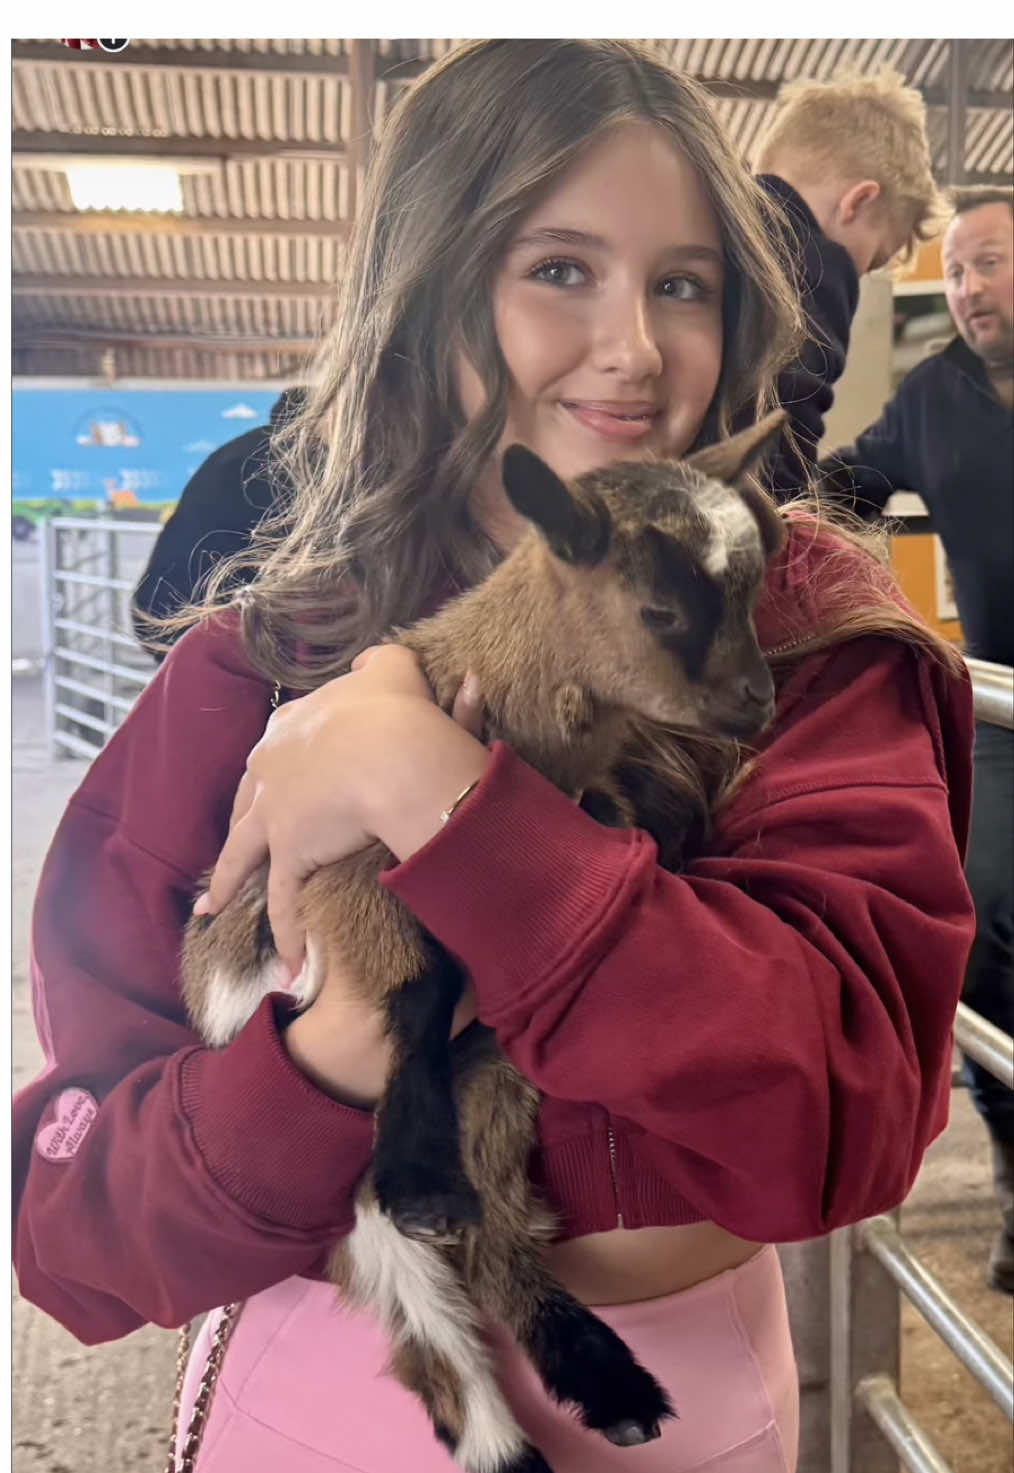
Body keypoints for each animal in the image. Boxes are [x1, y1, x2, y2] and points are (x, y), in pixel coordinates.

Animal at [181, 410, 788, 1473]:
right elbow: (422, 988)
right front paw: (419, 1174)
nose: (758, 700)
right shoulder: (347, 871)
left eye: (755, 586)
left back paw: (607, 1386)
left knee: (495, 1234)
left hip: (500, 1077)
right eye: (662, 610)